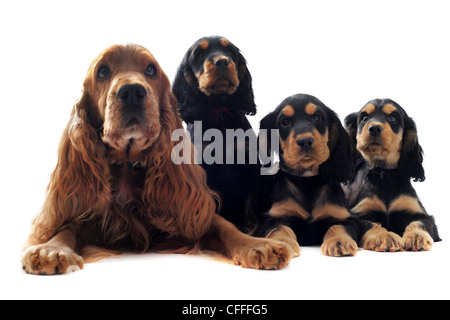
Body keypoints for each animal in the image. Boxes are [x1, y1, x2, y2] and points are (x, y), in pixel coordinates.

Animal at [174, 37, 262, 230]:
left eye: (229, 52)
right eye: (200, 54)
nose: (222, 61)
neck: (219, 109)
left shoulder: (249, 163)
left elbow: (251, 207)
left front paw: (253, 230)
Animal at [255, 94, 368, 256]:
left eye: (317, 117)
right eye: (284, 122)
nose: (305, 141)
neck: (307, 180)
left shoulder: (344, 216)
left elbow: (338, 226)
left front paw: (339, 241)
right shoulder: (272, 217)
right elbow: (280, 228)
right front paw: (282, 243)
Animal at [342, 97, 442, 250]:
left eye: (393, 118)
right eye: (364, 118)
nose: (374, 128)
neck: (384, 173)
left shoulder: (421, 213)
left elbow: (419, 222)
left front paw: (417, 238)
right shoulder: (358, 213)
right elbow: (371, 224)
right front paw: (385, 237)